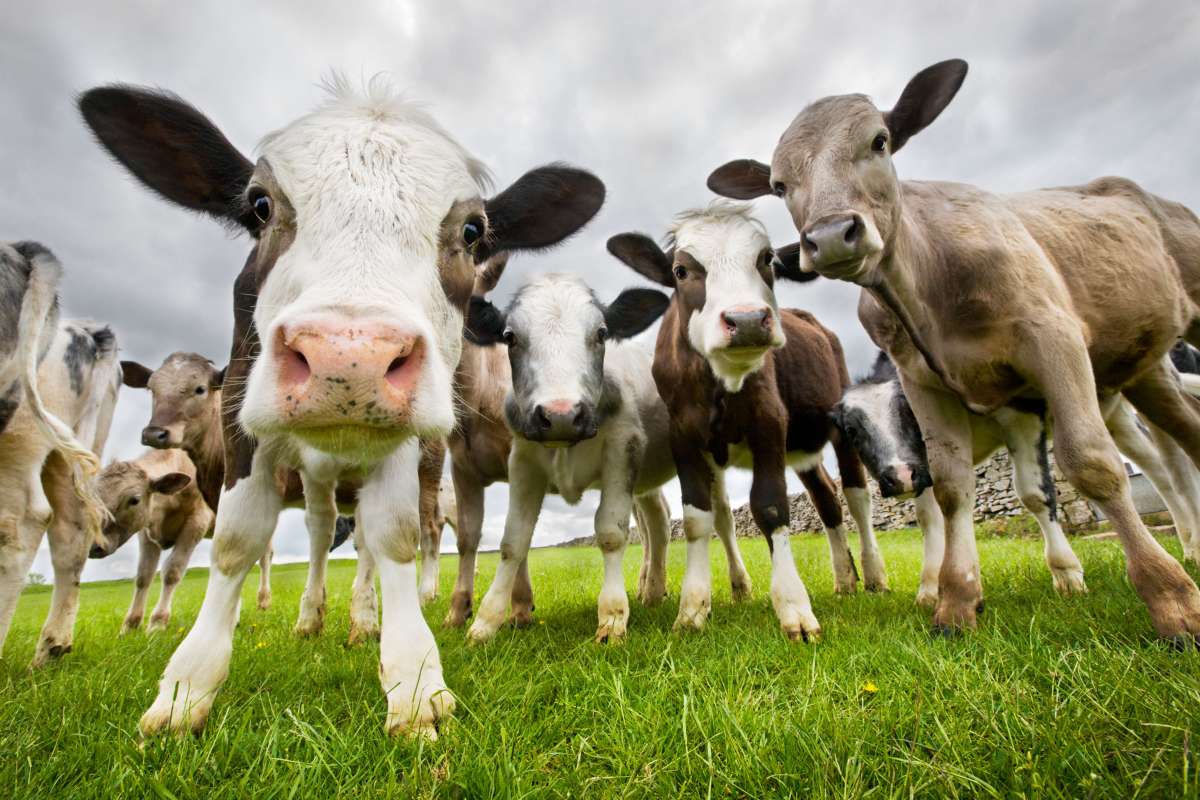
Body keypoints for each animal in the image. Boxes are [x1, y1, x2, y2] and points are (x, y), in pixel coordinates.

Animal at [88, 448, 211, 633]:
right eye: (95, 496)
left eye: (134, 500)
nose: (93, 546)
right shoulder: (145, 531)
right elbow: (144, 575)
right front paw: (130, 626)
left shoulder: (198, 521)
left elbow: (172, 571)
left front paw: (158, 623)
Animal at [462, 272, 677, 643]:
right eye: (509, 337)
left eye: (602, 333)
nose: (560, 414)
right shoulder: (523, 461)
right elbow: (513, 541)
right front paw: (485, 623)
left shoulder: (624, 447)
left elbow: (611, 532)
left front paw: (612, 618)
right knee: (658, 522)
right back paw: (652, 592)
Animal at [607, 202, 884, 641]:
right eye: (681, 270)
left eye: (766, 259)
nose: (749, 320)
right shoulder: (684, 436)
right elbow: (697, 517)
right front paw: (692, 608)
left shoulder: (768, 423)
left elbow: (770, 508)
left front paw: (794, 608)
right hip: (802, 446)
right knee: (826, 498)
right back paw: (844, 579)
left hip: (841, 423)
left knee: (856, 495)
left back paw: (872, 574)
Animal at [835, 352, 1200, 605]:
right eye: (852, 430)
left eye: (908, 411)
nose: (899, 476)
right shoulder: (923, 466)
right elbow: (930, 518)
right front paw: (930, 589)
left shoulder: (1020, 415)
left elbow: (1034, 494)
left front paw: (1067, 574)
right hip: (1113, 414)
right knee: (1157, 470)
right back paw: (1188, 543)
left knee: (1169, 464)